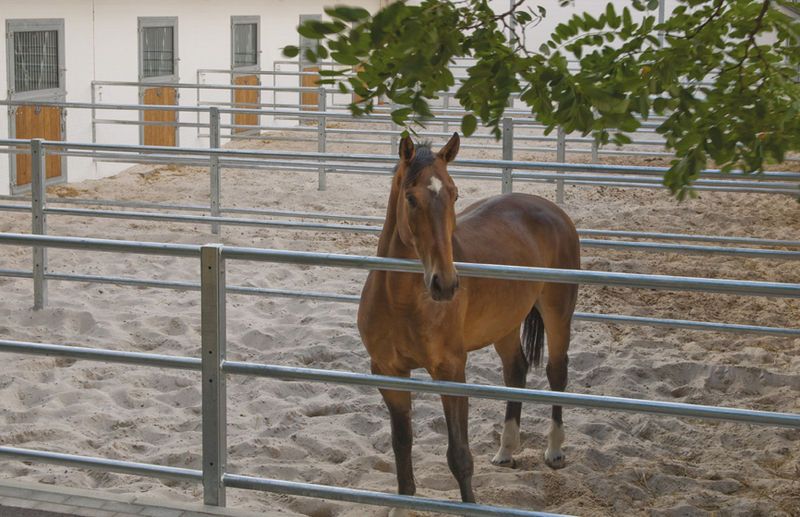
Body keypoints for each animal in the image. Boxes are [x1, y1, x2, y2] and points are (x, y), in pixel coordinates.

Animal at [360, 133, 580, 508]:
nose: (445, 284)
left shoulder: (451, 372)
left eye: (454, 193)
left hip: (557, 312)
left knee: (557, 372)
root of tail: (552, 211)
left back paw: (554, 451)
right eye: (411, 198)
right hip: (505, 324)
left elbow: (459, 455)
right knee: (516, 370)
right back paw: (506, 452)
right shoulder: (389, 374)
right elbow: (402, 449)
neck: (402, 302)